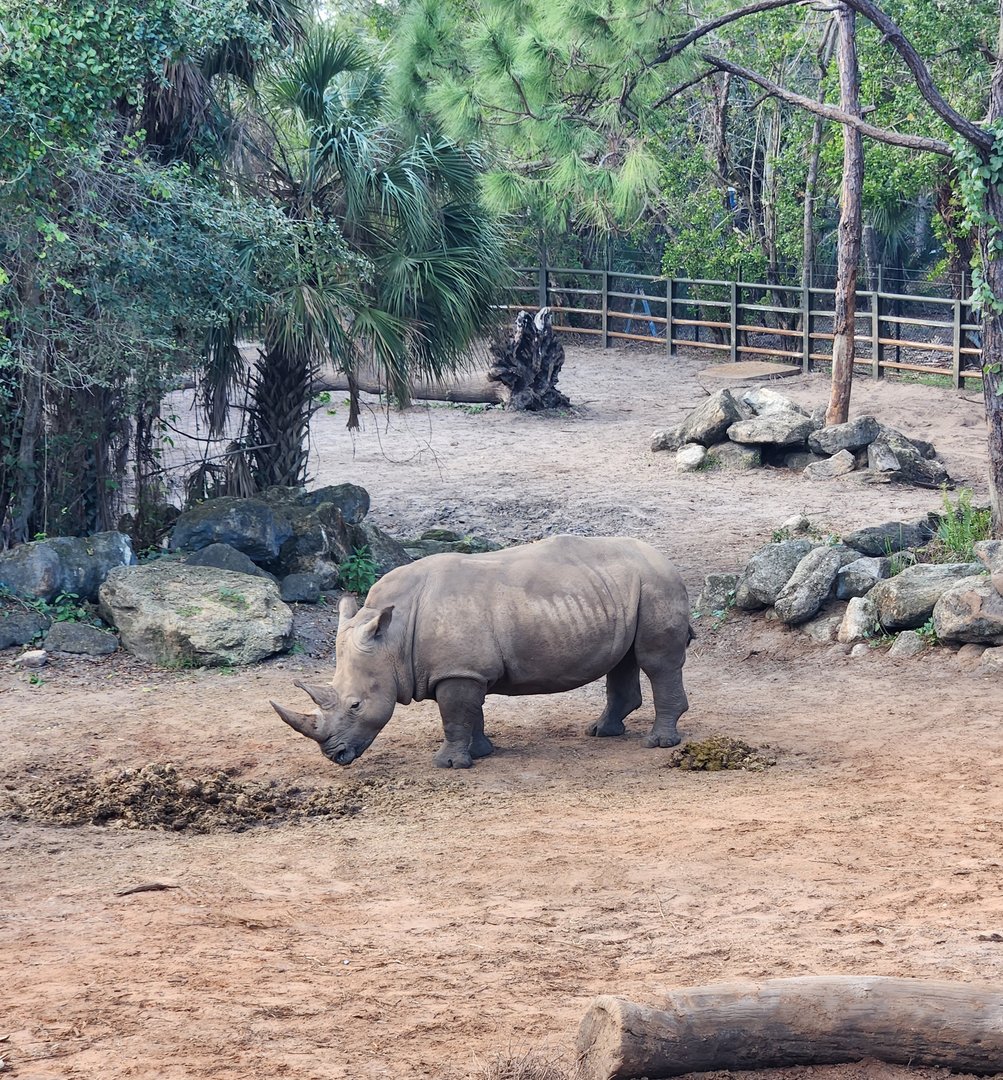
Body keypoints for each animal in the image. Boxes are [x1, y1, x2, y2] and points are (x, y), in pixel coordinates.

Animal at [271, 534, 692, 769]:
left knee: (656, 661)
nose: (334, 756)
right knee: (623, 659)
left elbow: (454, 716)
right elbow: (470, 714)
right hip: (626, 586)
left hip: (656, 583)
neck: (392, 637)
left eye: (356, 705)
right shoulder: (466, 670)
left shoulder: (458, 671)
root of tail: (667, 560)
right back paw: (601, 732)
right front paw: (482, 752)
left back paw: (657, 743)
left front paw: (449, 765)